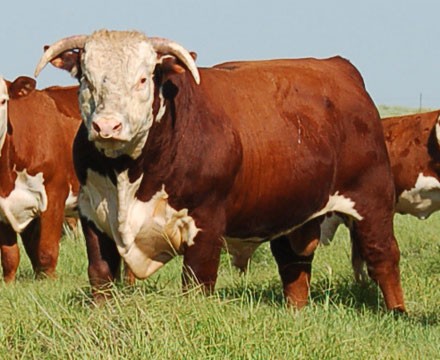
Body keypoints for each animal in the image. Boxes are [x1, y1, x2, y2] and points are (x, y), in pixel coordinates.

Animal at [36, 29, 408, 310]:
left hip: (372, 198)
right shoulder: (93, 217)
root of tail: (338, 67)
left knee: (383, 257)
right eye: (86, 79)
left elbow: (197, 283)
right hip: (290, 213)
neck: (128, 173)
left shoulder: (206, 223)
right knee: (294, 266)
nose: (107, 126)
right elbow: (100, 277)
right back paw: (296, 313)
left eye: (143, 79)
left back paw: (396, 312)